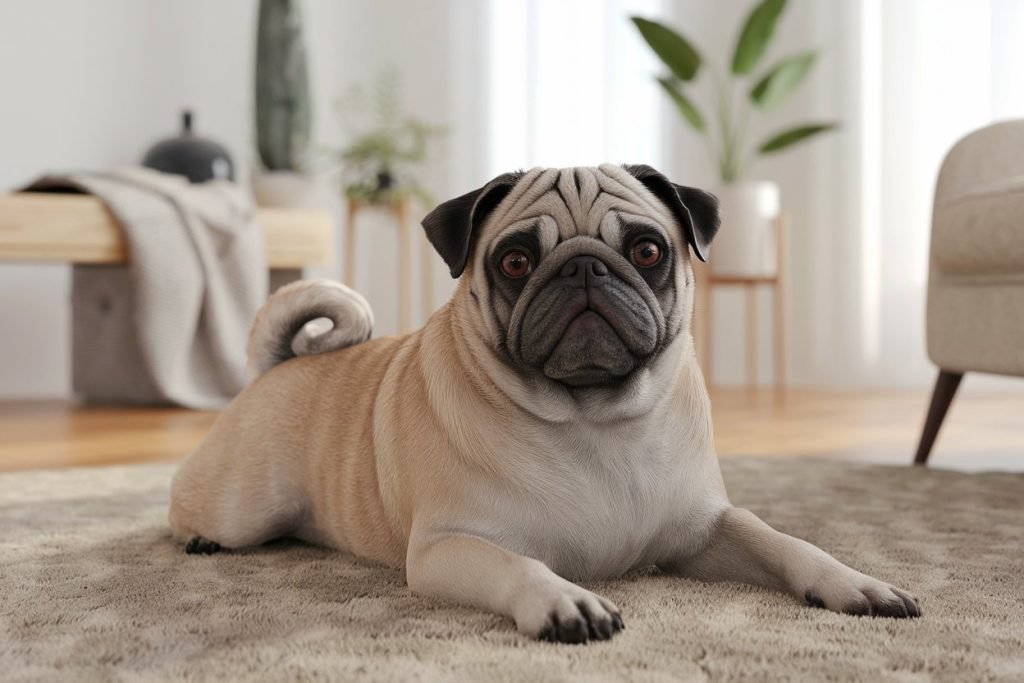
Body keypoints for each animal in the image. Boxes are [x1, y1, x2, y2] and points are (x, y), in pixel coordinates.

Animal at [167, 163, 921, 643]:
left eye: (648, 250)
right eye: (515, 261)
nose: (584, 266)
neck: (596, 419)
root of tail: (282, 363)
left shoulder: (707, 529)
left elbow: (786, 540)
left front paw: (854, 583)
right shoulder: (449, 546)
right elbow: (519, 564)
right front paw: (563, 600)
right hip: (248, 505)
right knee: (186, 502)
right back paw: (196, 535)